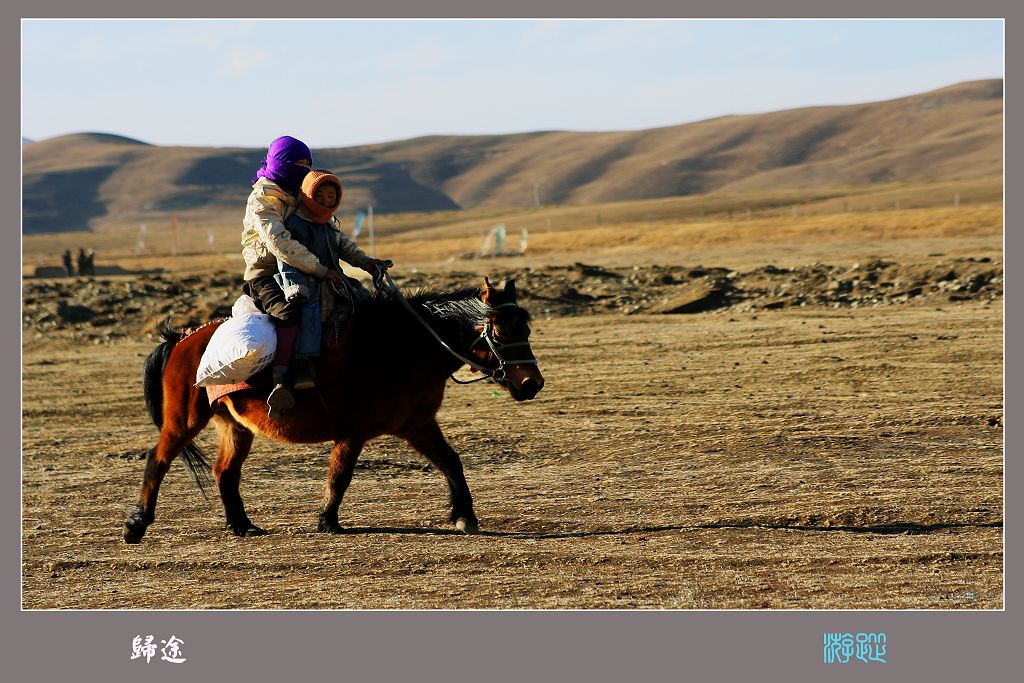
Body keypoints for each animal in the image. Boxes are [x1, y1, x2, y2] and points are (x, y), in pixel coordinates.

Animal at [123, 278, 544, 544]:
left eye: (526, 328)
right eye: (501, 332)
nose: (532, 384)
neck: (403, 347)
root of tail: (182, 339)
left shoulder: (416, 424)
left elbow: (451, 461)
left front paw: (465, 516)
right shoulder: (354, 431)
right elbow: (340, 475)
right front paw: (328, 521)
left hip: (235, 425)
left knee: (224, 472)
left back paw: (243, 526)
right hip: (184, 419)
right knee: (158, 459)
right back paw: (136, 525)